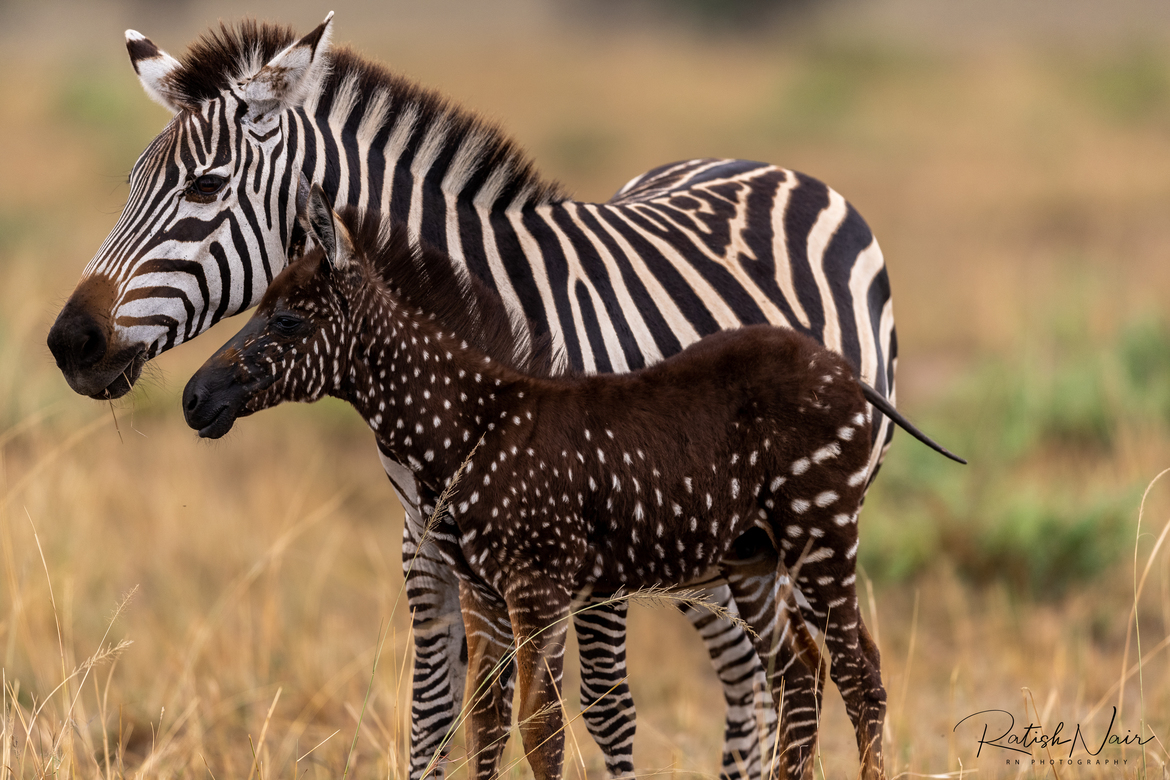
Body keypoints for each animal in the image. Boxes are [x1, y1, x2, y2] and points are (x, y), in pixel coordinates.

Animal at [47, 15, 893, 780]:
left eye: (206, 186)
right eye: (129, 186)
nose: (69, 343)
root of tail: (766, 165)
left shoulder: (584, 547)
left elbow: (603, 712)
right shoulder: (426, 542)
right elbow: (436, 712)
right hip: (718, 548)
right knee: (757, 675)